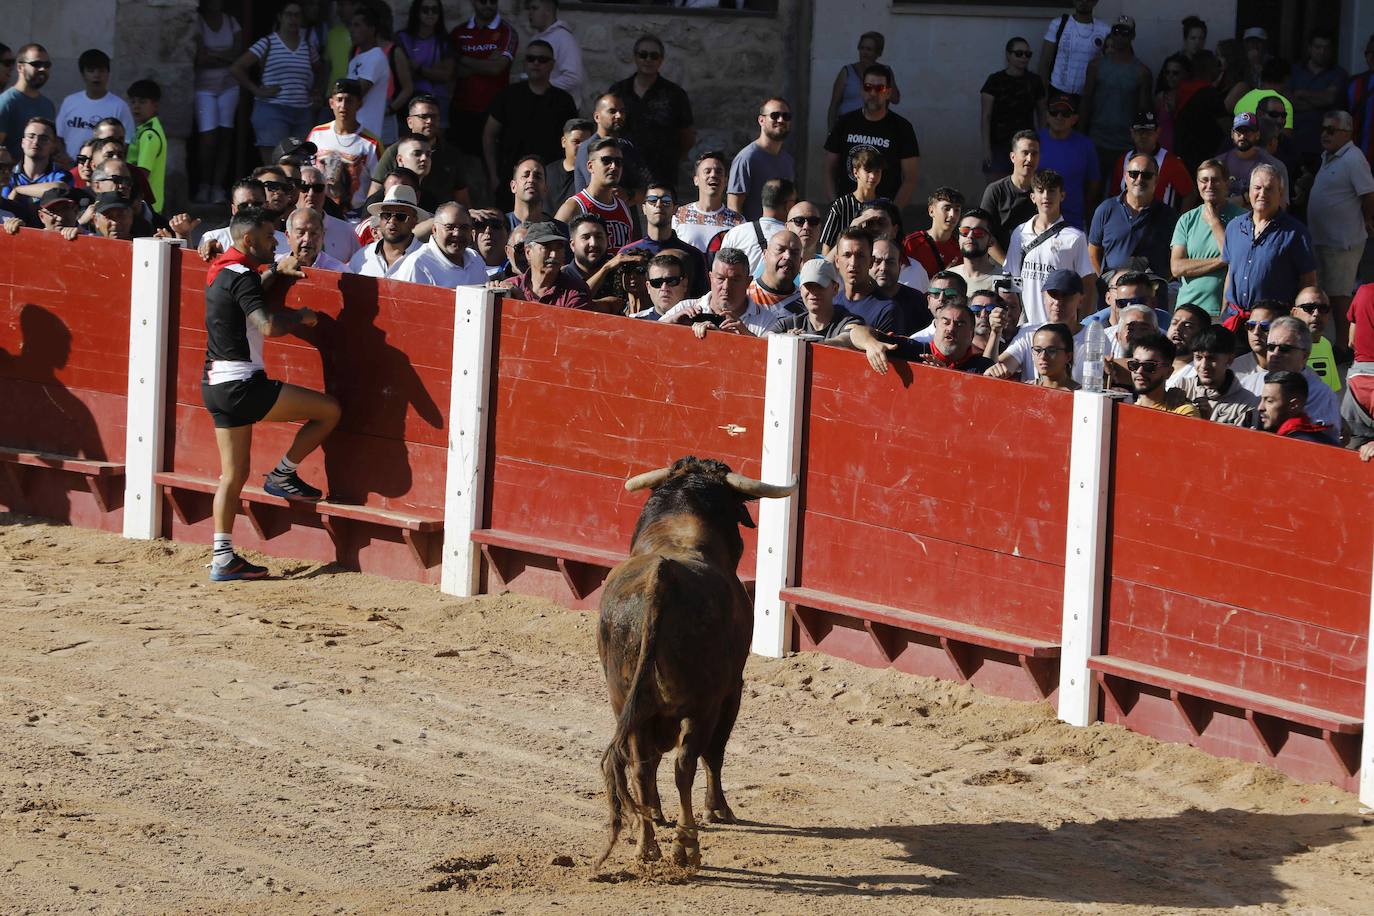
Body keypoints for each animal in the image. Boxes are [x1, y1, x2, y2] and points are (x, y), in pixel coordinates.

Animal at [593, 455, 796, 873]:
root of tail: (661, 579)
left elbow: (650, 763)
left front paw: (654, 813)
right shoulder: (732, 689)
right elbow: (714, 753)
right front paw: (718, 810)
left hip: (623, 700)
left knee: (640, 765)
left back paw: (646, 846)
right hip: (704, 705)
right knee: (686, 764)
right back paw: (686, 846)